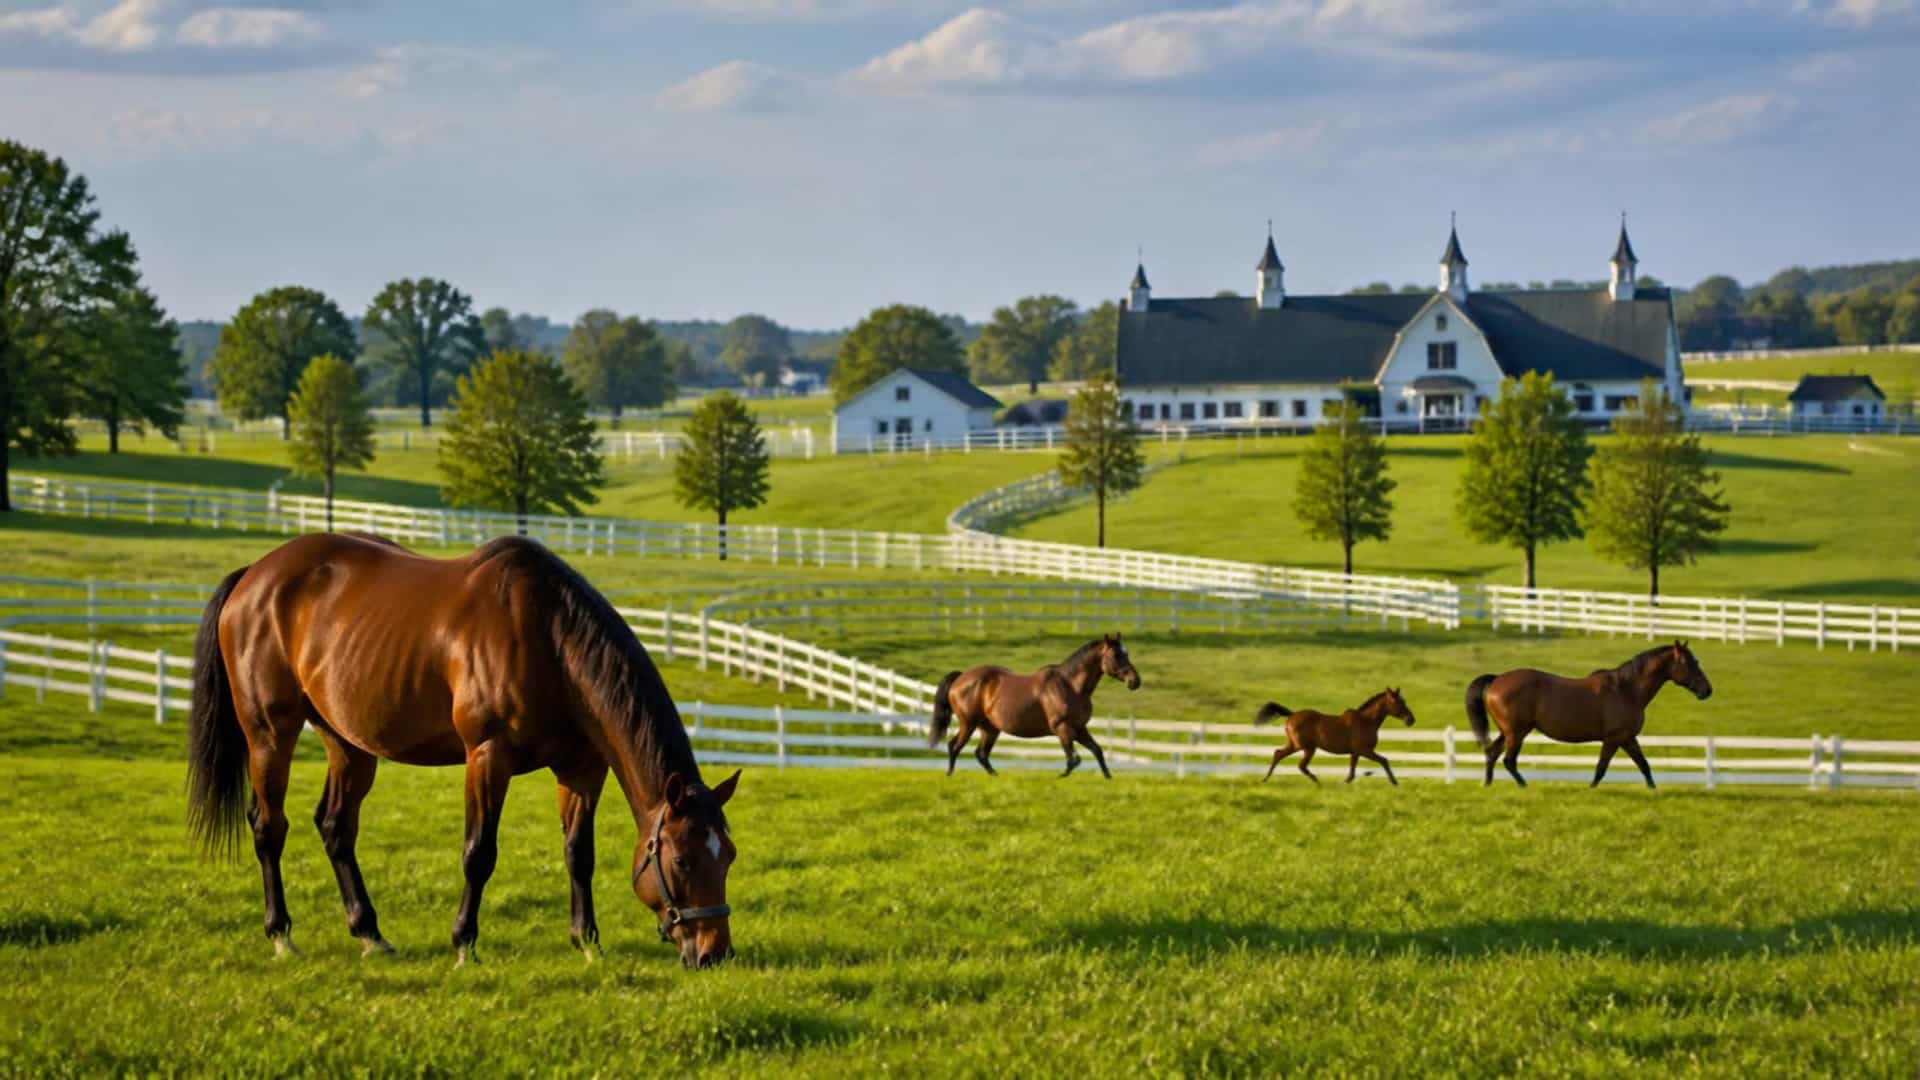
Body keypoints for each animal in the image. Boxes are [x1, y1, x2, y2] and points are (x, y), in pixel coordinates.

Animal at [186, 532, 741, 968]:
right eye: (683, 860)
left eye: (729, 856)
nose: (714, 953)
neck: (548, 638)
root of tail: (254, 576)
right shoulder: (487, 757)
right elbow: (479, 852)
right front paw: (463, 943)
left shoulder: (582, 767)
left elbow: (578, 853)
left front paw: (586, 942)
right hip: (268, 734)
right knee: (269, 827)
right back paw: (281, 935)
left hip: (347, 742)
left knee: (336, 827)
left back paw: (370, 934)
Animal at [926, 634, 1141, 778]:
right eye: (1116, 655)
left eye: (1127, 653)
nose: (1135, 681)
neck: (1070, 685)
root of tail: (960, 678)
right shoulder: (1062, 728)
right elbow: (1074, 759)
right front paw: (1060, 777)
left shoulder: (1079, 728)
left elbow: (1097, 751)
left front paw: (1108, 777)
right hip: (968, 724)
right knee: (954, 747)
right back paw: (949, 775)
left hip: (990, 728)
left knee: (981, 754)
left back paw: (994, 775)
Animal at [1254, 688, 1416, 784]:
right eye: (1399, 702)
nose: (1411, 720)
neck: (1366, 721)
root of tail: (1292, 715)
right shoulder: (1364, 750)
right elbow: (1384, 760)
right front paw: (1395, 782)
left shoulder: (1356, 752)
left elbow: (1352, 772)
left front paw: (1345, 782)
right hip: (1307, 747)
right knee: (1301, 765)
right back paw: (1318, 782)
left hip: (1295, 745)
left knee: (1278, 754)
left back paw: (1265, 779)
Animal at [1464, 640, 1713, 789]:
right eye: (1689, 663)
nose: (1707, 691)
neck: (1626, 689)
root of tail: (1496, 680)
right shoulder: (1614, 738)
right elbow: (1601, 768)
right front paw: (1592, 789)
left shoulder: (1627, 738)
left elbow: (1644, 765)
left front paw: (1653, 790)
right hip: (1517, 733)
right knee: (1508, 760)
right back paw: (1523, 786)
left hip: (1508, 731)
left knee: (1491, 753)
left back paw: (1487, 785)